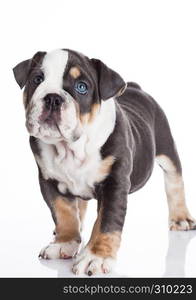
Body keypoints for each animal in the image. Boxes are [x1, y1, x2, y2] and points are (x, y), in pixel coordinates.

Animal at [13, 48, 195, 276]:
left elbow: (106, 222)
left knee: (174, 181)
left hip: (166, 146)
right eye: (37, 79)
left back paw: (180, 217)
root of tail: (135, 87)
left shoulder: (114, 183)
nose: (53, 98)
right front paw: (64, 243)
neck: (72, 147)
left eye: (81, 87)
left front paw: (95, 257)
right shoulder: (49, 181)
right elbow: (63, 213)